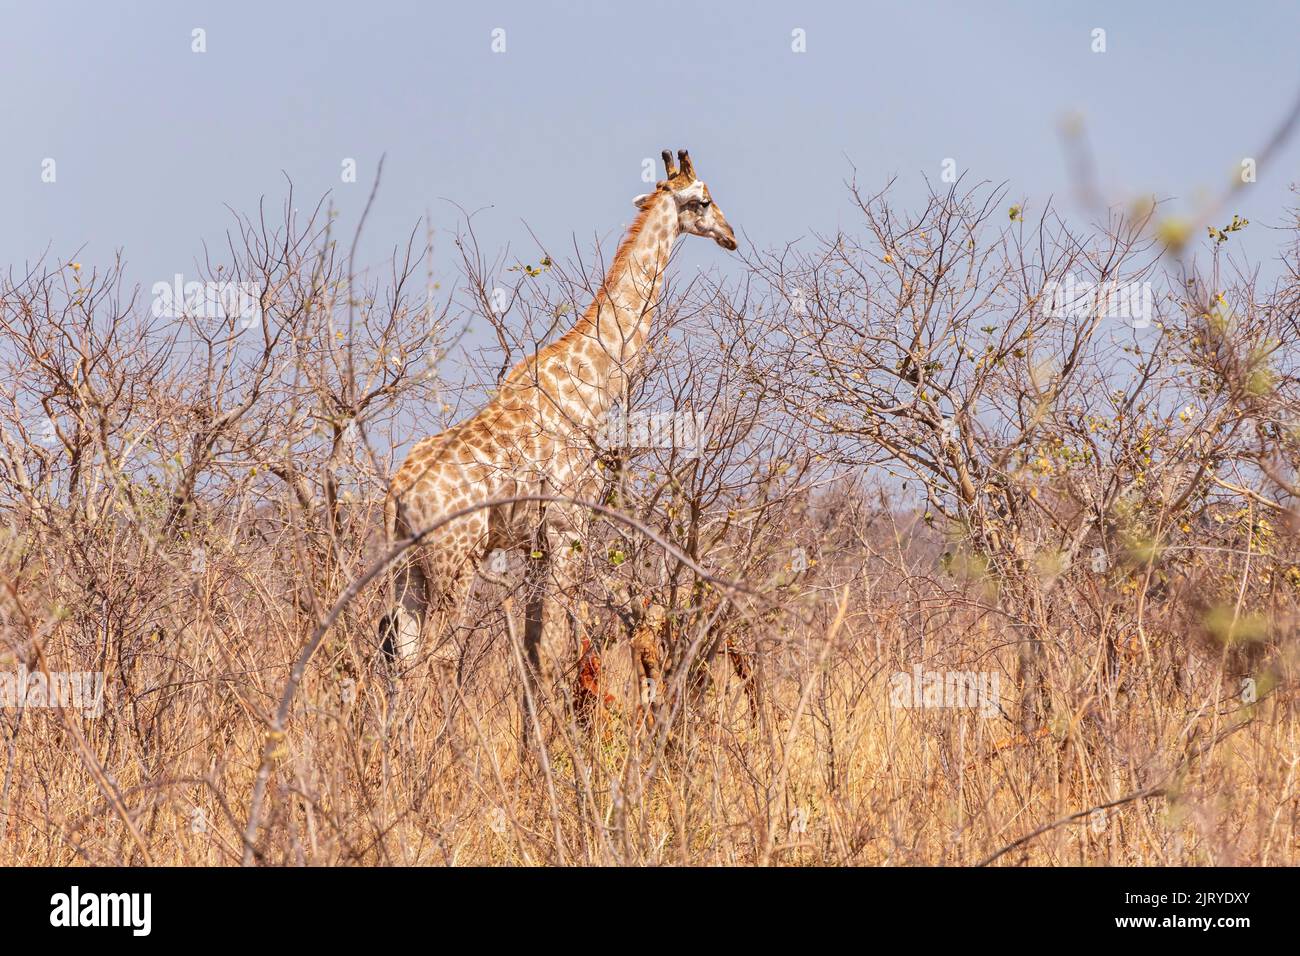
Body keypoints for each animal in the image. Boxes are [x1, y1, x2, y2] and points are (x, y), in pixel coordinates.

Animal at [379, 149, 737, 718]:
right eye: (703, 199)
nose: (731, 235)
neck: (590, 386)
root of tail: (396, 494)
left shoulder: (537, 543)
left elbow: (533, 650)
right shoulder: (569, 528)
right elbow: (558, 648)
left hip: (404, 568)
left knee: (404, 658)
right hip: (455, 560)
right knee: (440, 655)